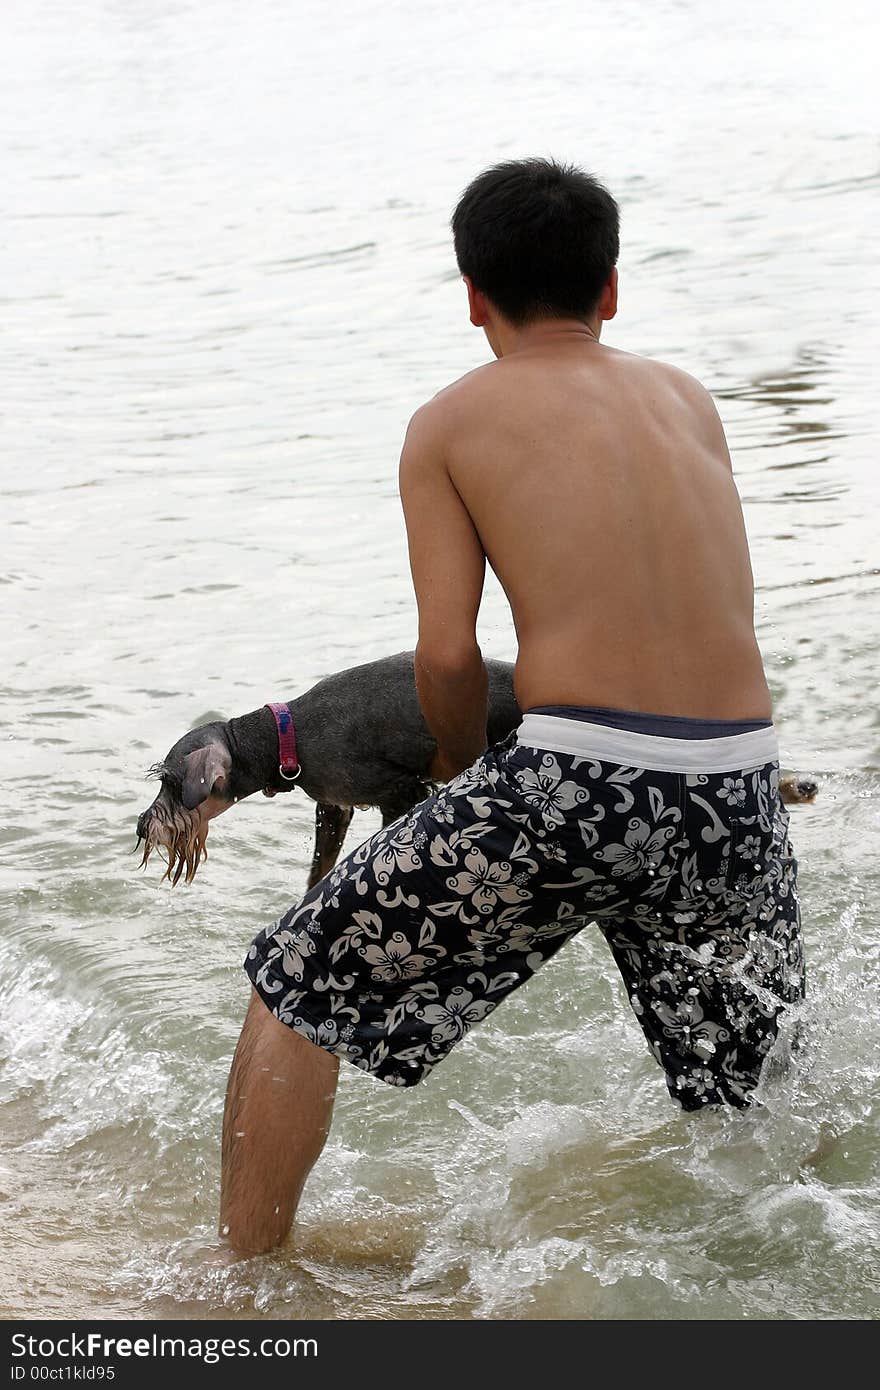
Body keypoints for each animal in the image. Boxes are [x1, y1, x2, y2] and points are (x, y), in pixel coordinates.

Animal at [137, 650, 817, 889]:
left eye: (170, 782)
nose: (143, 827)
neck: (283, 736)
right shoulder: (332, 809)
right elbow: (317, 869)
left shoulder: (399, 790)